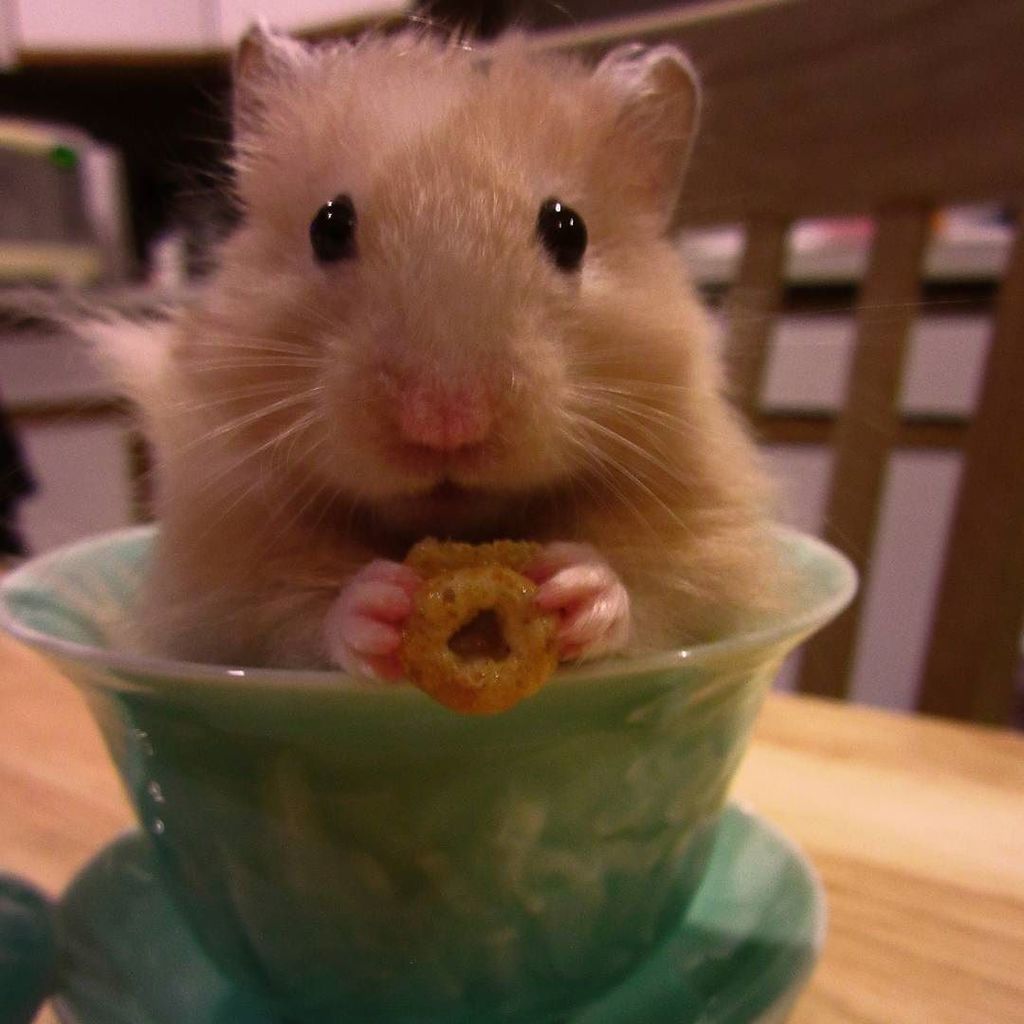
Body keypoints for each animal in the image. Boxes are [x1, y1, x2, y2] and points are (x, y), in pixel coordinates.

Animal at [91, 26, 781, 676]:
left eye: (570, 230)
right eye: (328, 225)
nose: (444, 421)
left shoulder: (703, 526)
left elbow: (654, 581)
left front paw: (575, 589)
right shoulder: (224, 557)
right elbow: (291, 602)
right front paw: (380, 604)